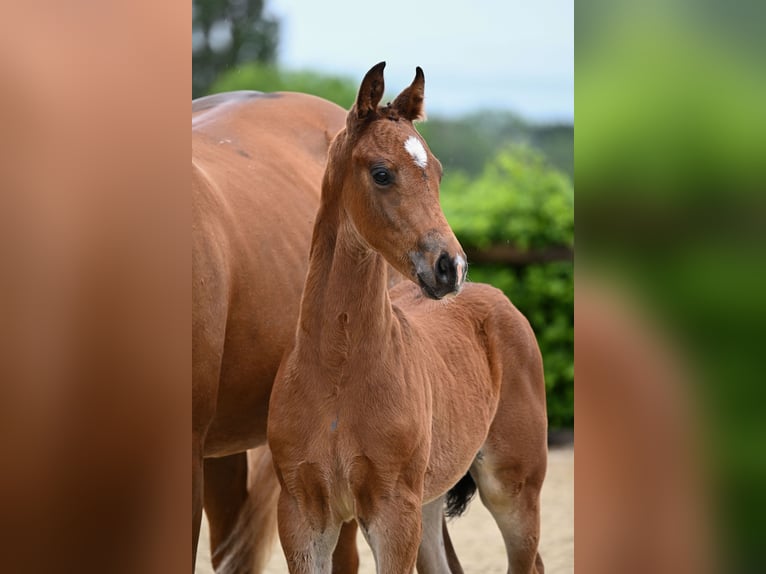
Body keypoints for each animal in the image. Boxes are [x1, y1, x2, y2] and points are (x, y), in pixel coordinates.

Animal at [267, 62, 548, 574]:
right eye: (382, 173)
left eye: (436, 171)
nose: (451, 266)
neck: (336, 372)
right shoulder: (301, 512)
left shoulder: (392, 511)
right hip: (430, 499)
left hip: (513, 487)